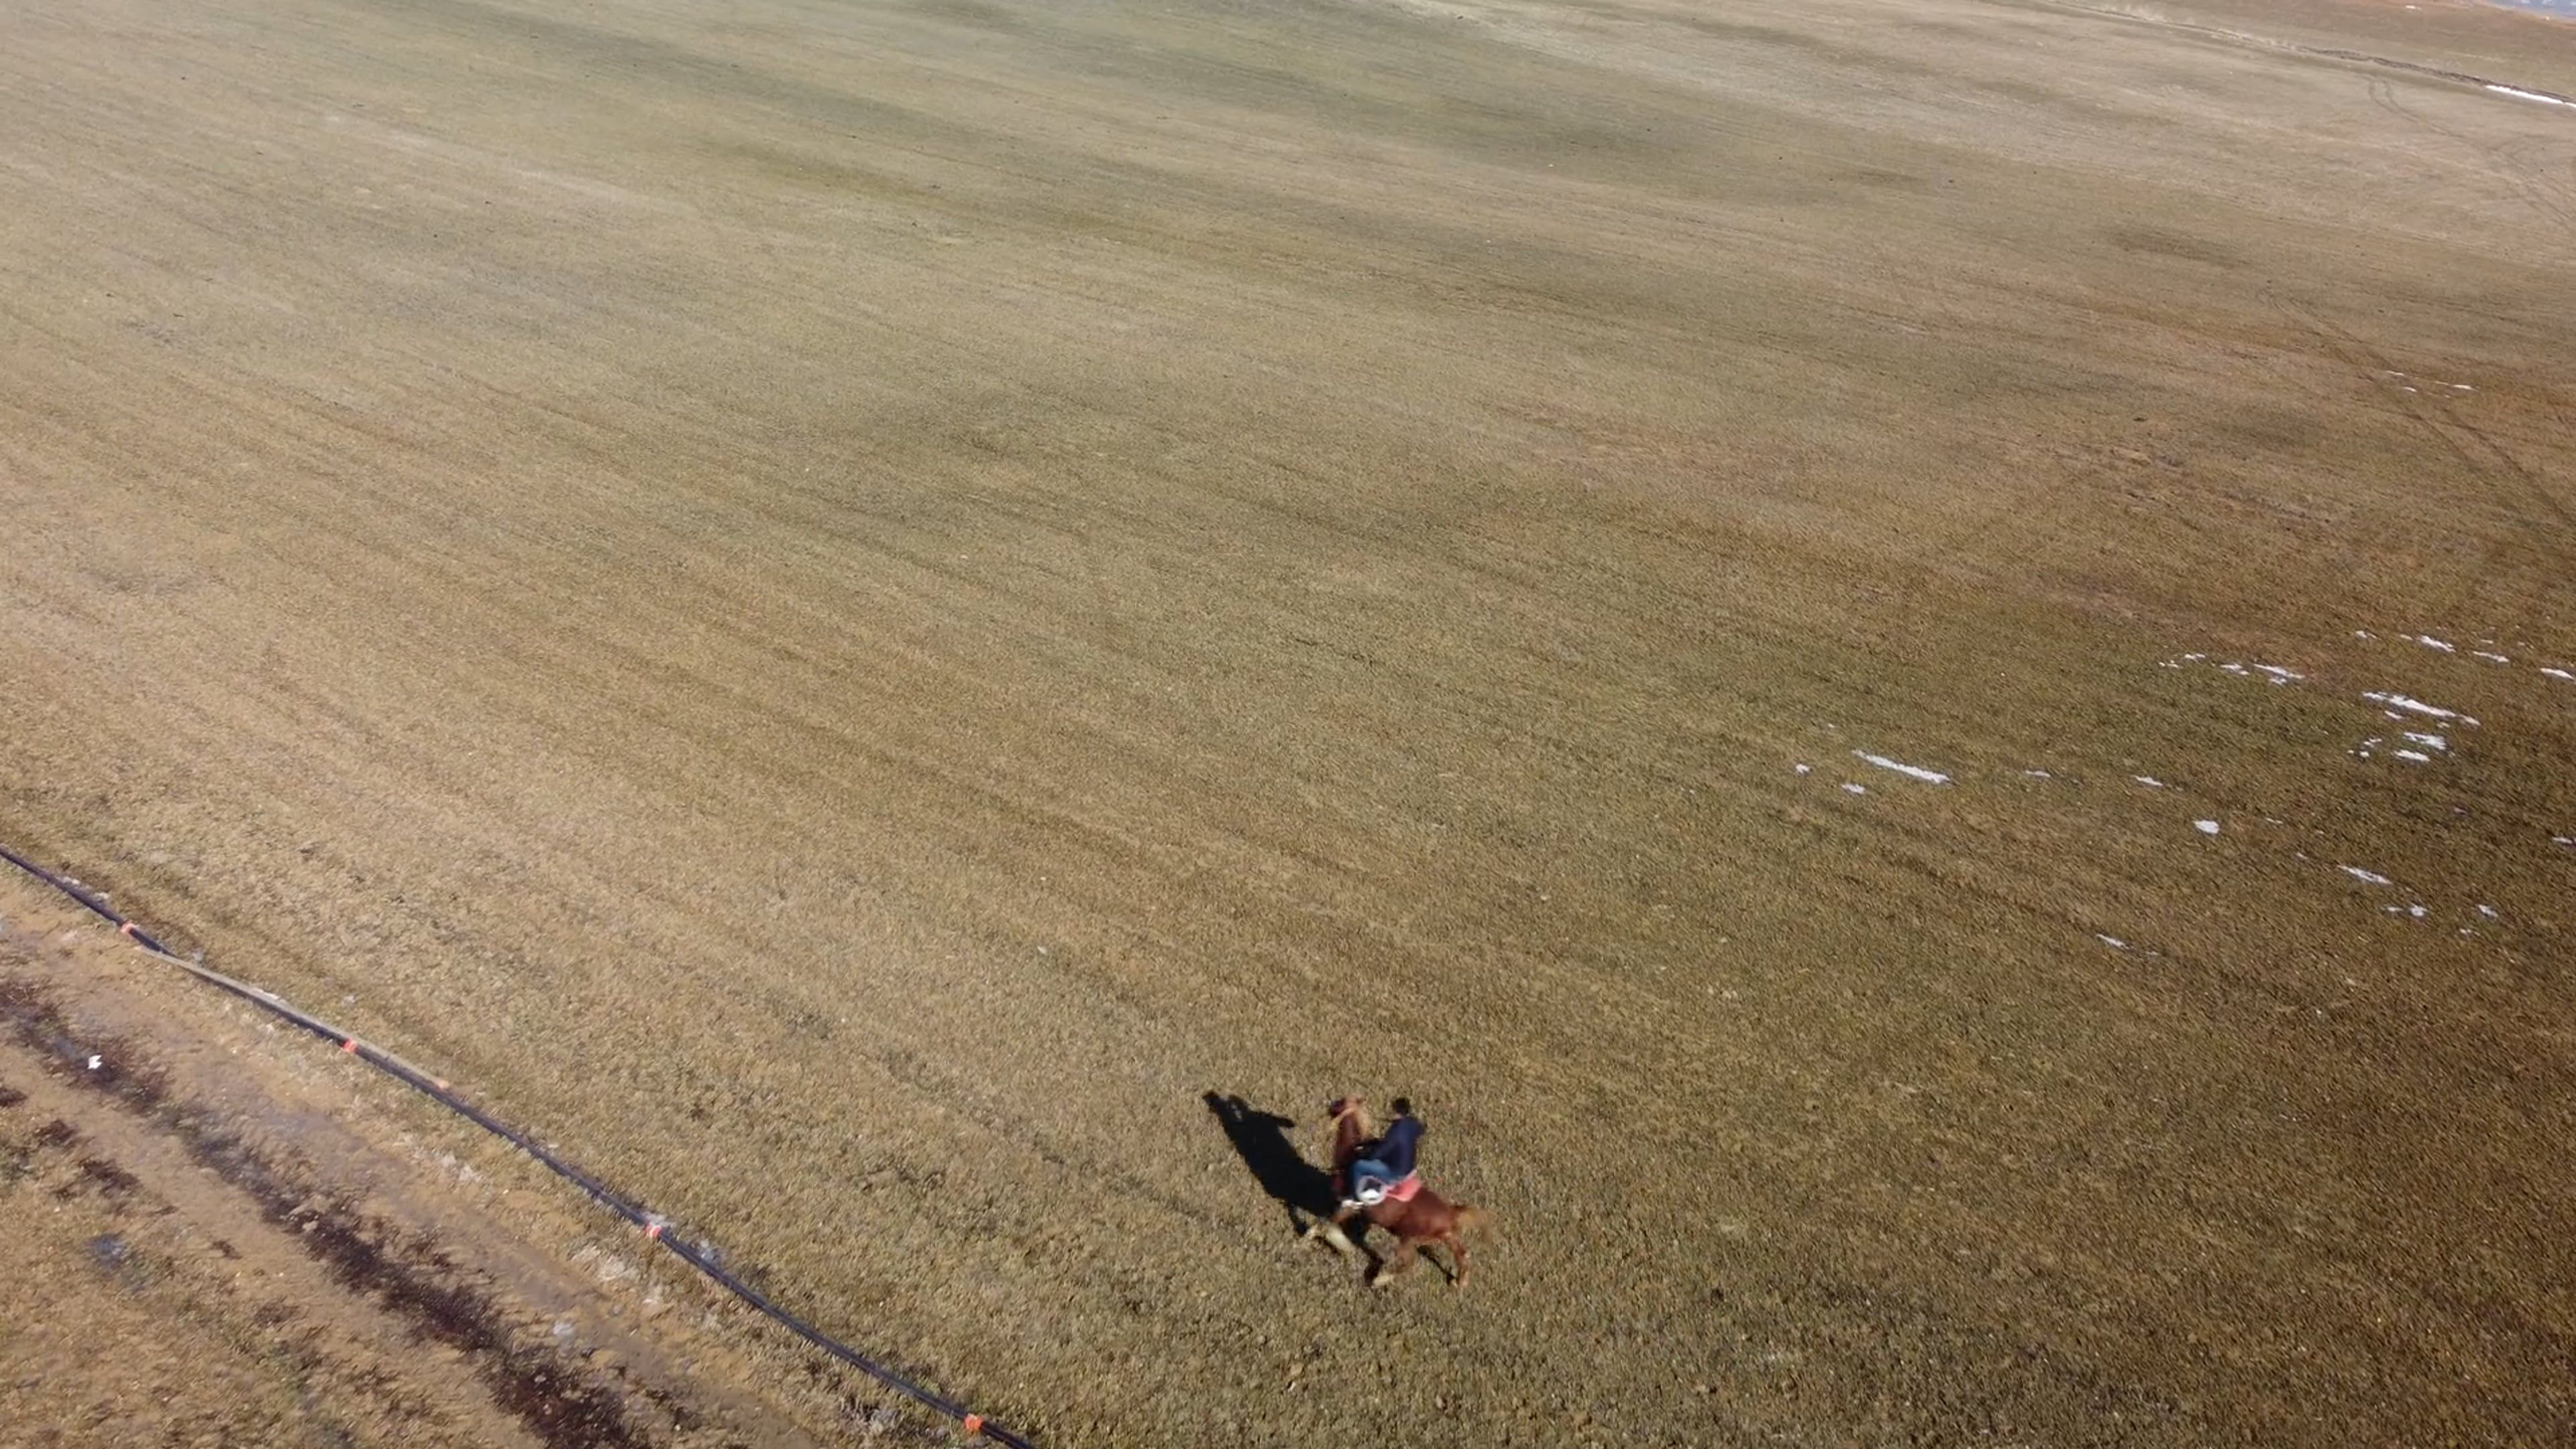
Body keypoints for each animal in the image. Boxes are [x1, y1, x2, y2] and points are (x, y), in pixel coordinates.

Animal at [1304, 1095, 1485, 1286]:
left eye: (1339, 1103)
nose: (1328, 1107)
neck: (1351, 1156)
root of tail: (1451, 1213)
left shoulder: (1348, 1205)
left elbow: (1324, 1224)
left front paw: (1309, 1240)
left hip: (1409, 1239)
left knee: (1409, 1262)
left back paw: (1379, 1279)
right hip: (1443, 1238)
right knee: (1463, 1255)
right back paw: (1459, 1282)